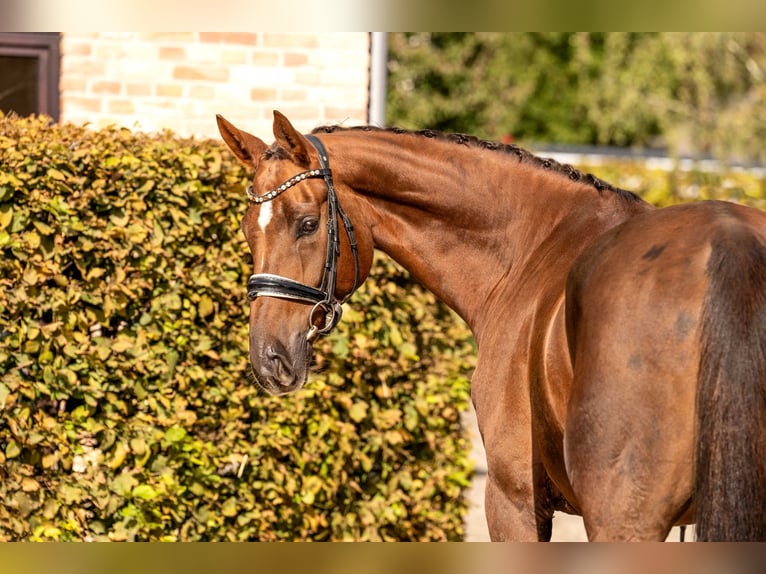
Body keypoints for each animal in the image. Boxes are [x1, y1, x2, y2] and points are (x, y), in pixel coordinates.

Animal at [214, 110, 766, 544]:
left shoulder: (513, 500)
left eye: (307, 224)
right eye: (245, 231)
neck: (534, 244)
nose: (269, 359)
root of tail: (729, 248)